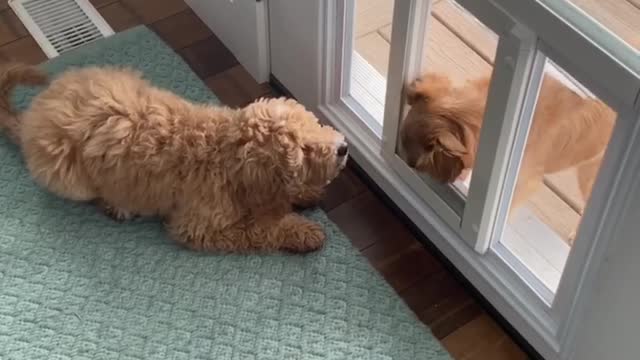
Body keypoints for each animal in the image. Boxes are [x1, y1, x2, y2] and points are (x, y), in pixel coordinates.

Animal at [1, 62, 350, 253]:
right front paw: (302, 232)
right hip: (68, 176)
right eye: (303, 150)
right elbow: (259, 229)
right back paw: (118, 206)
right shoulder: (199, 227)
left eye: (315, 124)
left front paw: (304, 194)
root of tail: (33, 115)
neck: (223, 153)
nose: (343, 148)